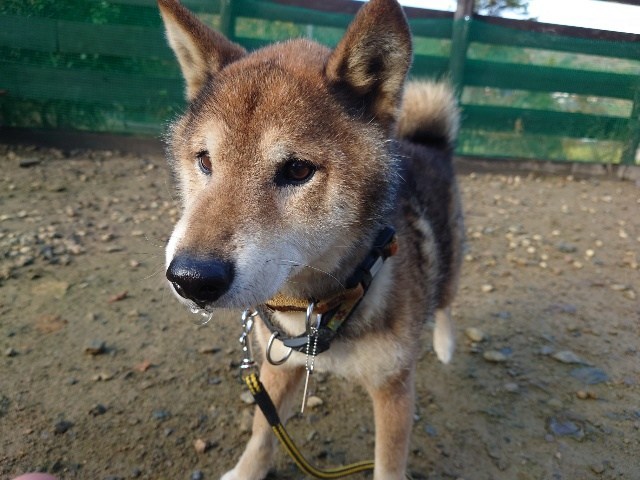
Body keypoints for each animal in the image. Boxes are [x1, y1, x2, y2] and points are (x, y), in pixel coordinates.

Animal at [158, 0, 462, 478]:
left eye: (298, 170)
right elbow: (263, 431)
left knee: (446, 299)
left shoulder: (394, 388)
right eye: (205, 161)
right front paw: (246, 471)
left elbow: (388, 464)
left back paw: (445, 344)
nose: (191, 278)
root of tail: (427, 143)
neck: (320, 306)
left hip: (450, 260)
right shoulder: (275, 366)